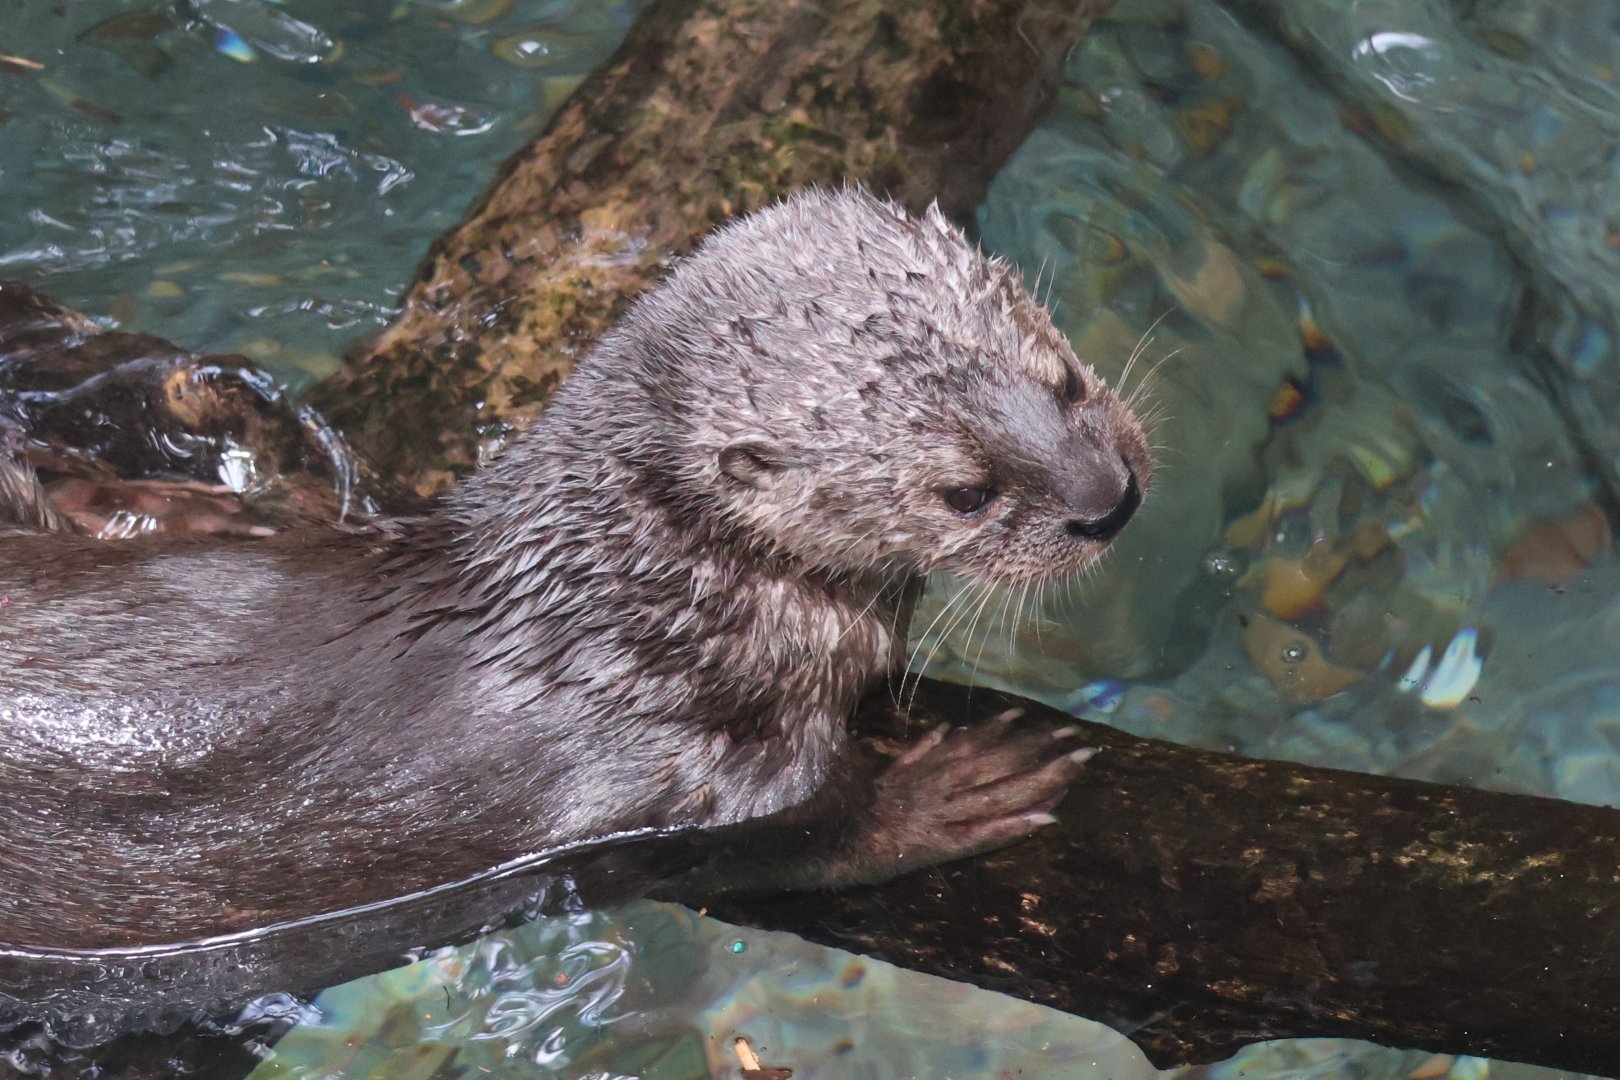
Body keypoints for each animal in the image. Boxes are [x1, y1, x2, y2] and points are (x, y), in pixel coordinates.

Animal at [0, 190, 1149, 963]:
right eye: (965, 491)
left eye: (1062, 378)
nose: (1109, 499)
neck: (648, 612)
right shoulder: (663, 778)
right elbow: (793, 839)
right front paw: (956, 790)